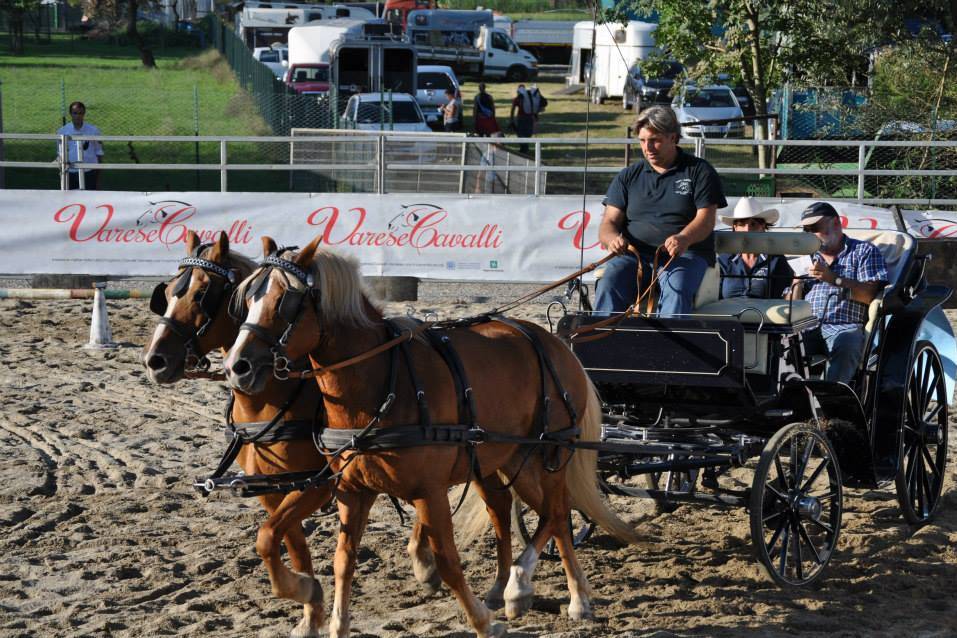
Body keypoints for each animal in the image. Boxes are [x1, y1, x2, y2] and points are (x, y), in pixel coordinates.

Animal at [225, 236, 644, 638]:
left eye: (285, 301)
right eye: (246, 300)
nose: (236, 366)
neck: (380, 381)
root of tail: (555, 341)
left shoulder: (428, 490)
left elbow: (448, 560)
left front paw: (483, 624)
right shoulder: (351, 489)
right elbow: (337, 557)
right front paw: (329, 617)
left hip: (552, 451)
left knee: (556, 512)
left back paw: (559, 595)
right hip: (507, 459)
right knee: (524, 511)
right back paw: (511, 588)